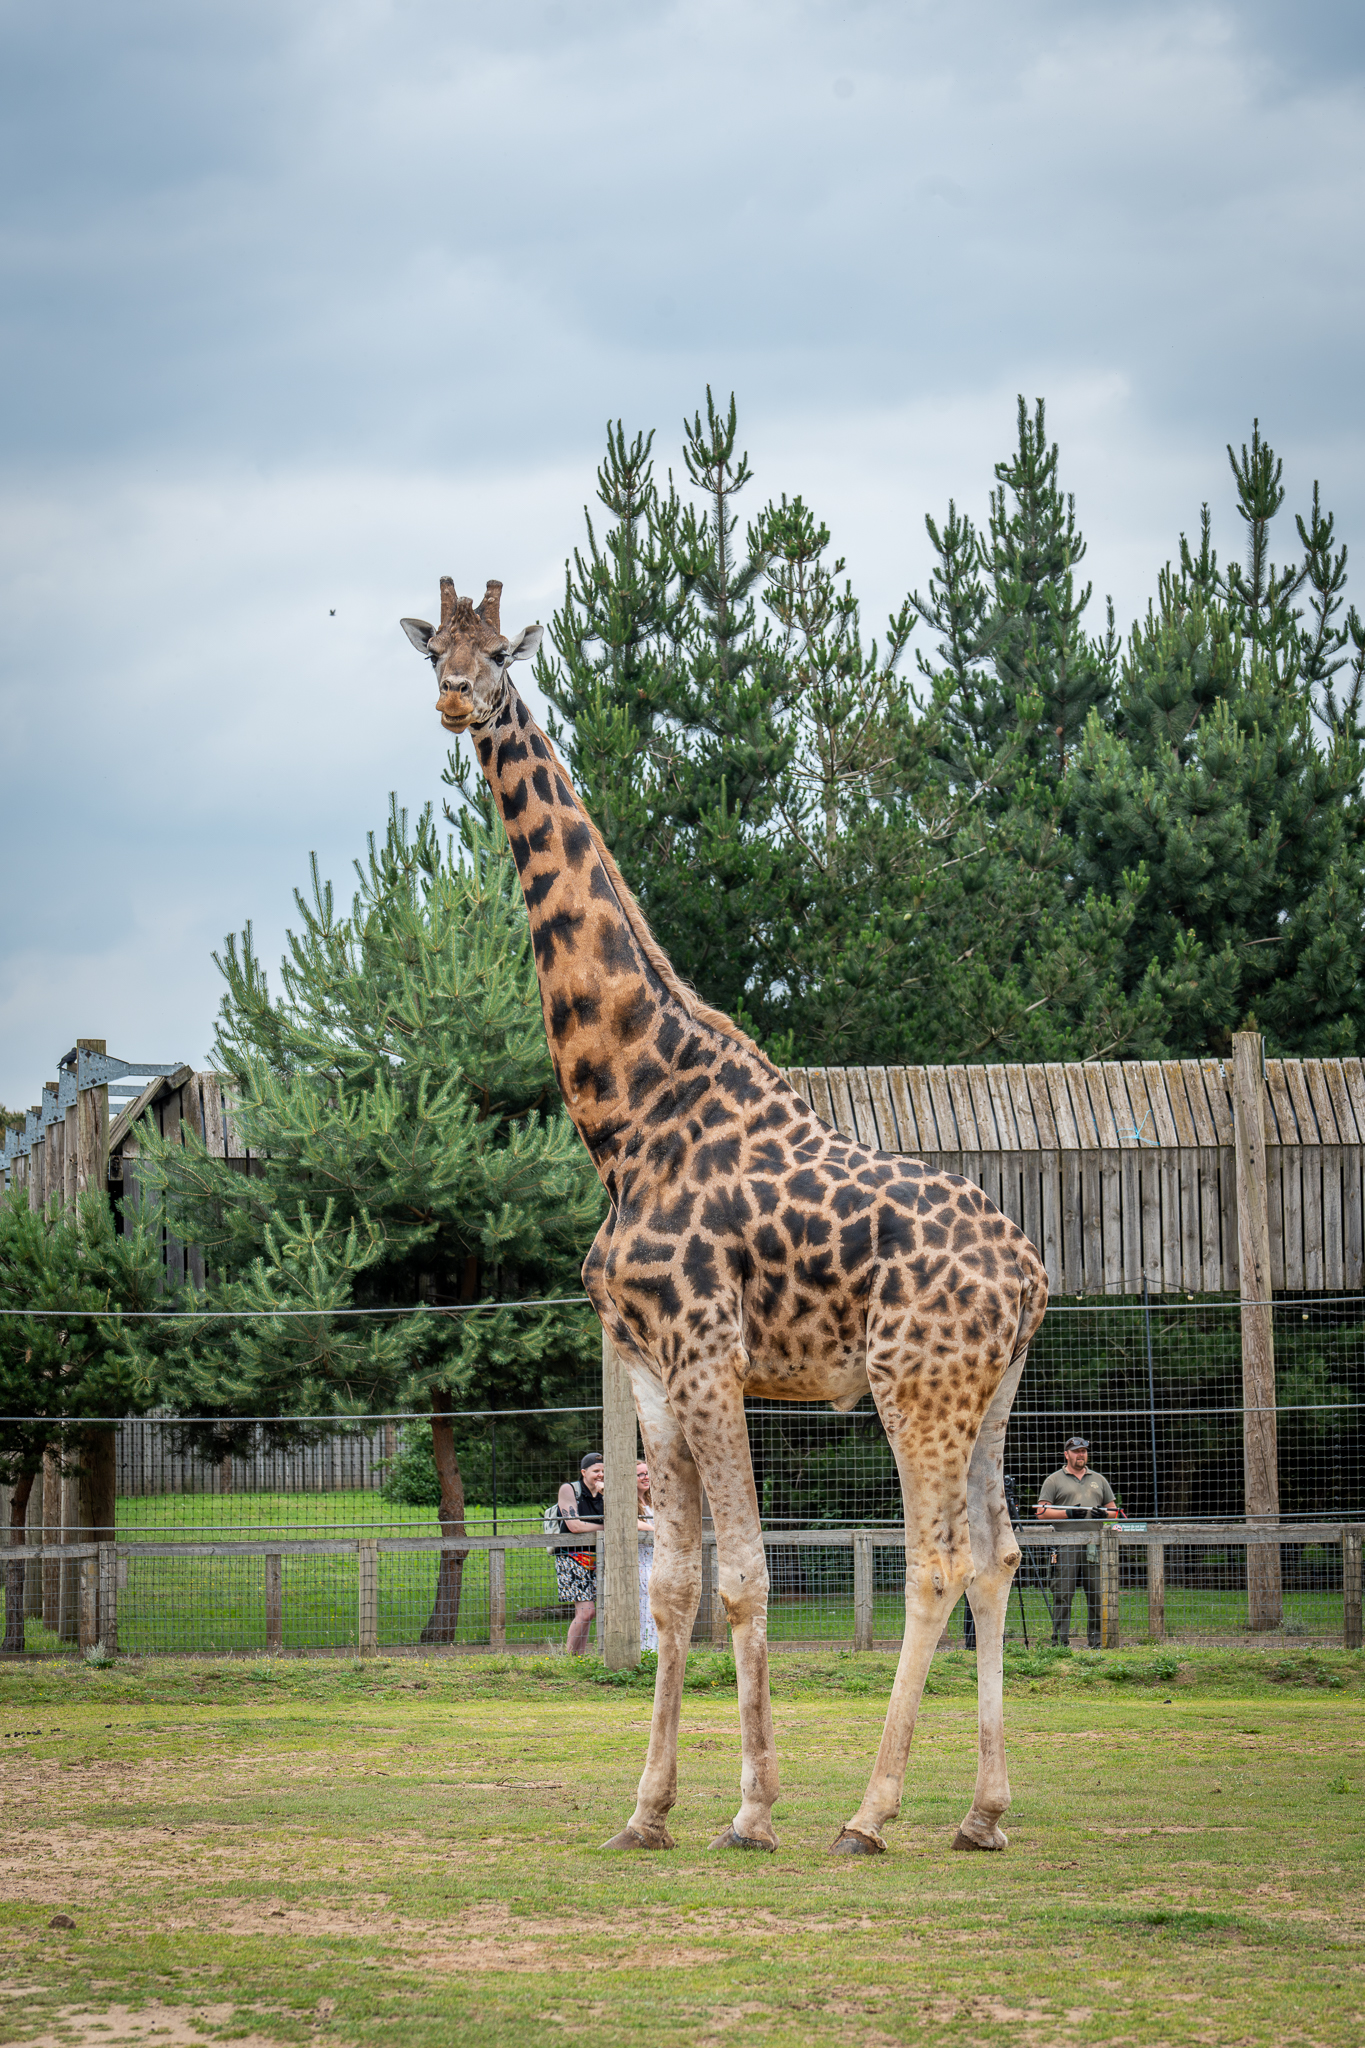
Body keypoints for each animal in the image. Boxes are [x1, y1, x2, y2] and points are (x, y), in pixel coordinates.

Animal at [401, 576, 1049, 1856]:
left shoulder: (709, 1352)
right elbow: (670, 1584)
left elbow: (745, 1577)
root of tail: (1033, 1274)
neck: (626, 1112)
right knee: (1000, 1552)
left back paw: (870, 1812)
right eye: (431, 647)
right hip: (989, 1392)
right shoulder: (649, 1365)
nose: (455, 698)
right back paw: (982, 1811)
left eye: (500, 654)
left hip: (915, 1386)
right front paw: (646, 1809)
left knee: (936, 1559)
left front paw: (752, 1807)